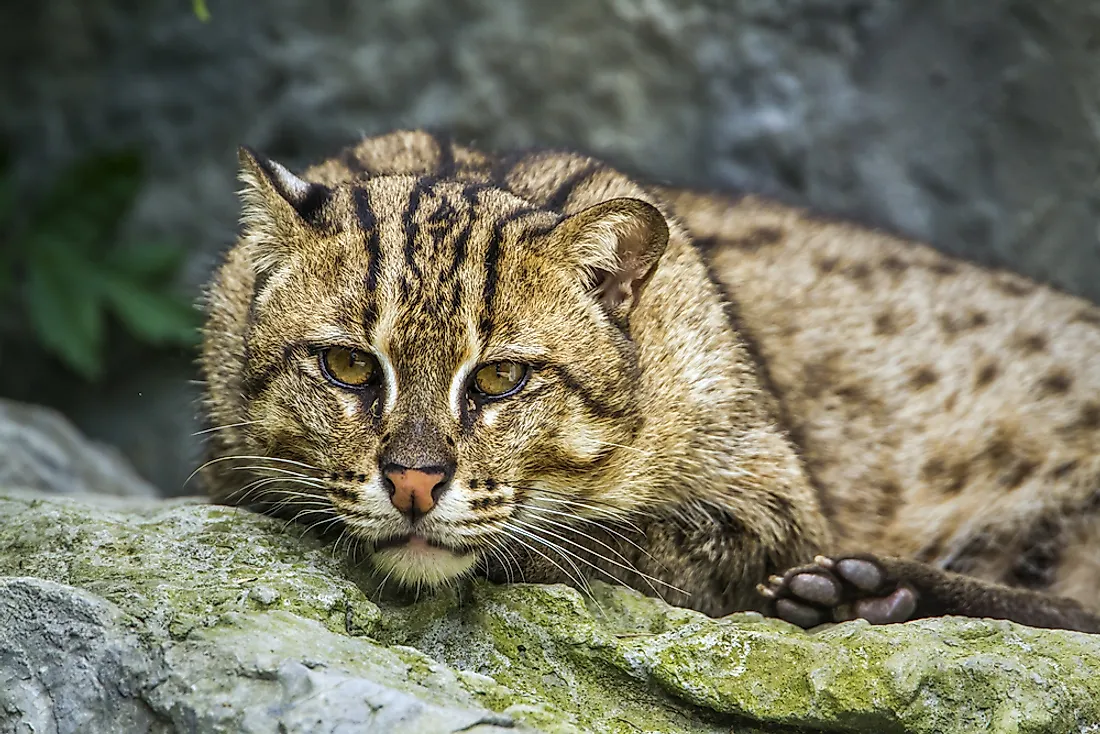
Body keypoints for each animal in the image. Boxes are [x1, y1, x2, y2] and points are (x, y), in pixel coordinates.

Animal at [198, 130, 1100, 633]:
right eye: (349, 365)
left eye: (500, 378)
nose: (414, 484)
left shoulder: (776, 498)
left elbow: (624, 545)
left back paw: (869, 591)